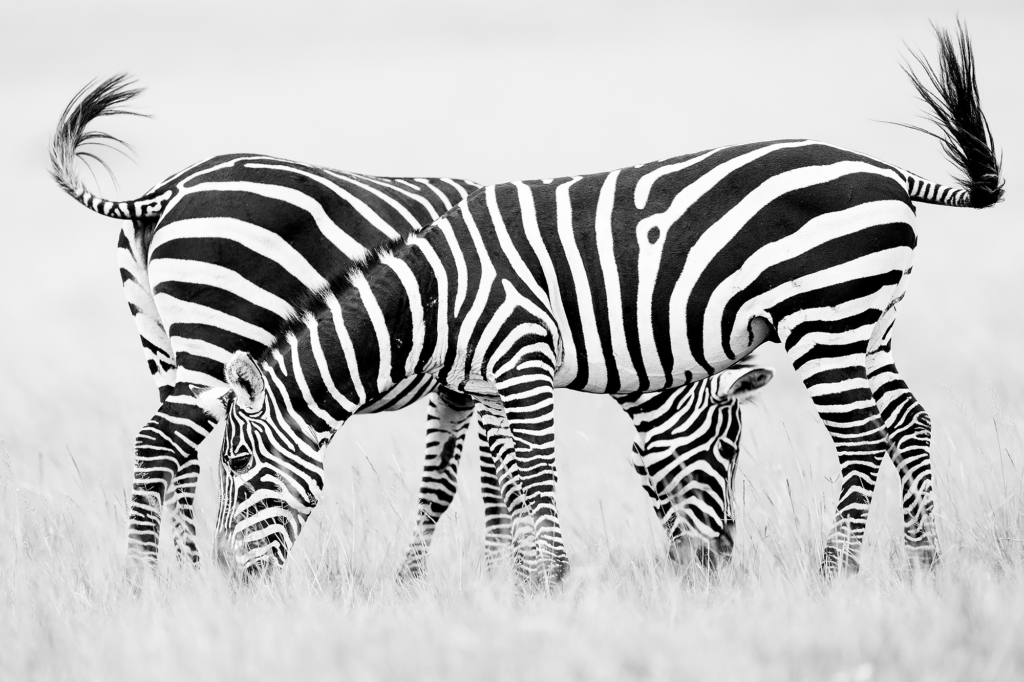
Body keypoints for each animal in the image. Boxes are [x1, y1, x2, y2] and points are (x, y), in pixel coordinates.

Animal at [48, 74, 770, 577]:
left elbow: (455, 482)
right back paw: (149, 579)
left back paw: (189, 571)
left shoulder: (464, 379)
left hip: (169, 347)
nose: (720, 559)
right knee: (159, 446)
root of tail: (167, 190)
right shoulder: (491, 367)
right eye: (730, 448)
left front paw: (452, 578)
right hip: (222, 326)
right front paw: (505, 576)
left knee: (178, 453)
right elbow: (498, 479)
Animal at [197, 25, 999, 577]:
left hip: (824, 319)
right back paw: (925, 562)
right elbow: (500, 481)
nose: (232, 579)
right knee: (908, 422)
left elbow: (532, 474)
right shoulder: (483, 382)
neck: (436, 300)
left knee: (860, 437)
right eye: (730, 449)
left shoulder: (519, 357)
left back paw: (837, 570)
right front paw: (518, 581)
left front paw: (547, 579)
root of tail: (886, 171)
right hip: (867, 323)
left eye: (235, 465)